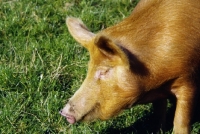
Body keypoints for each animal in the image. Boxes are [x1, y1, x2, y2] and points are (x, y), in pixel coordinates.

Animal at [60, 0, 200, 133]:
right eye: (89, 68)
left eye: (104, 71)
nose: (63, 112)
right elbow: (159, 112)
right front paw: (157, 130)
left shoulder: (188, 79)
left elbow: (181, 120)